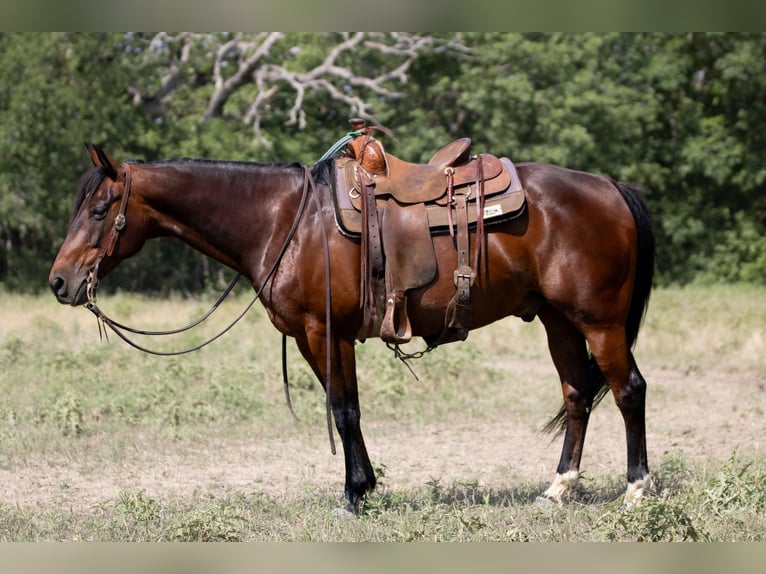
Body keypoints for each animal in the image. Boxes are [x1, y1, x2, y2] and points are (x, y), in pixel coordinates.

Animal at [51, 145, 656, 512]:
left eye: (100, 210)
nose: (59, 282)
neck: (285, 220)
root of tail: (609, 185)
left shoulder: (326, 331)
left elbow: (343, 410)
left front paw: (353, 495)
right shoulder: (311, 337)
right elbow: (347, 408)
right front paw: (364, 487)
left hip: (600, 322)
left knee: (628, 390)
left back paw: (636, 490)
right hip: (558, 321)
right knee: (577, 394)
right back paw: (558, 488)